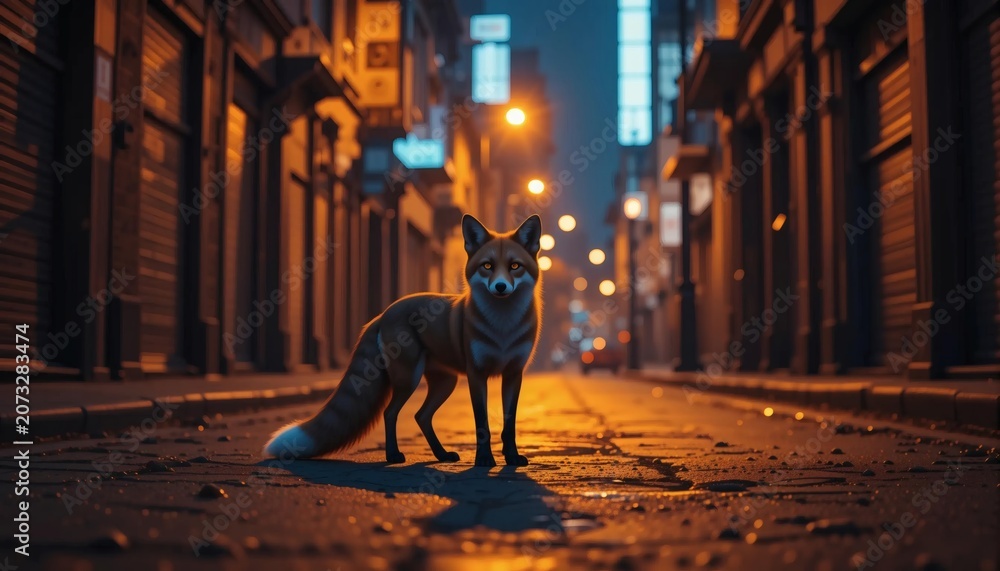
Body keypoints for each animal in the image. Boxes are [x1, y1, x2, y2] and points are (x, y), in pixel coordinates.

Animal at [263, 214, 543, 467]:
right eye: (487, 266)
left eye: (515, 266)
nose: (500, 287)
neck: (503, 329)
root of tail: (384, 313)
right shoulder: (476, 374)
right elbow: (481, 422)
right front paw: (484, 459)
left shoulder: (514, 374)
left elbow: (509, 424)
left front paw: (512, 458)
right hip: (410, 378)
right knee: (391, 412)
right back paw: (393, 455)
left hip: (445, 382)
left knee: (421, 416)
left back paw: (441, 455)